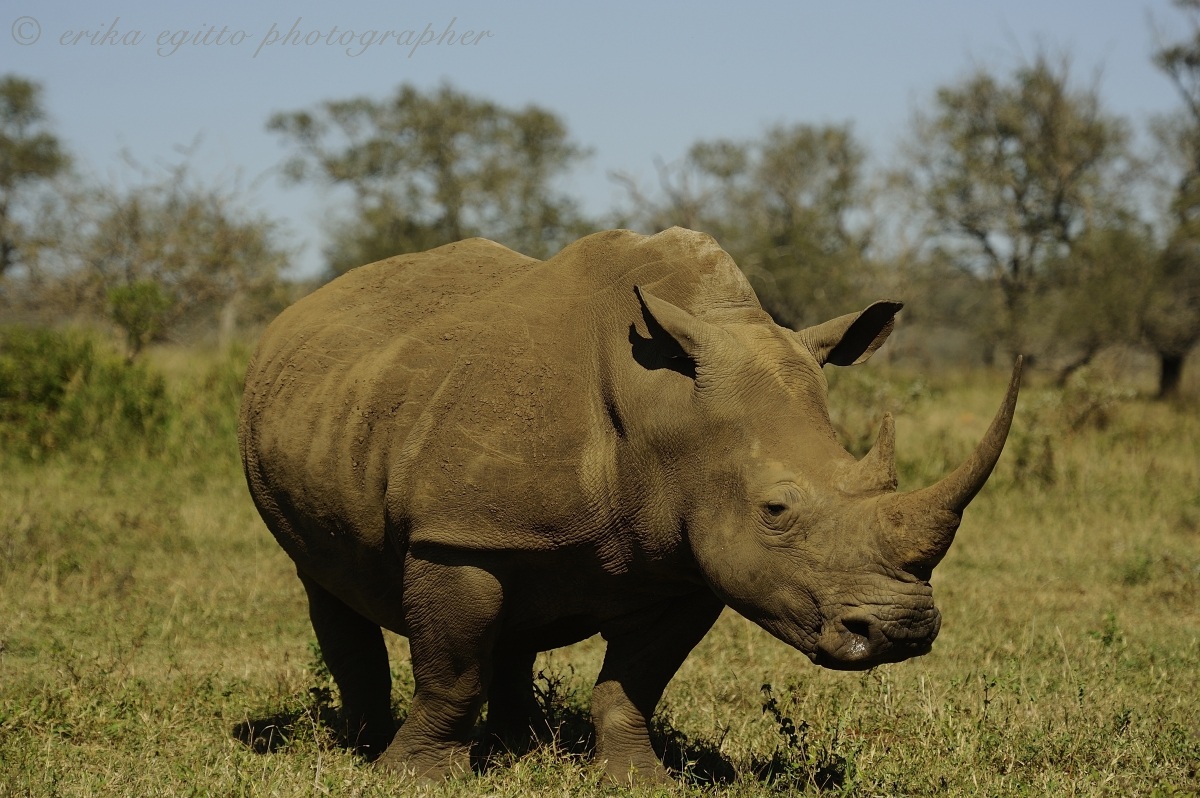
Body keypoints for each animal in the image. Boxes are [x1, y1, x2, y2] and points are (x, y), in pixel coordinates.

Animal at [239, 227, 1020, 784]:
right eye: (776, 510)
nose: (900, 632)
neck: (665, 412)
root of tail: (301, 309)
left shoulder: (690, 555)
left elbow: (634, 683)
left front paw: (638, 780)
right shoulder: (455, 535)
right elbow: (452, 670)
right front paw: (412, 780)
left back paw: (520, 746)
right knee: (326, 583)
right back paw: (362, 746)